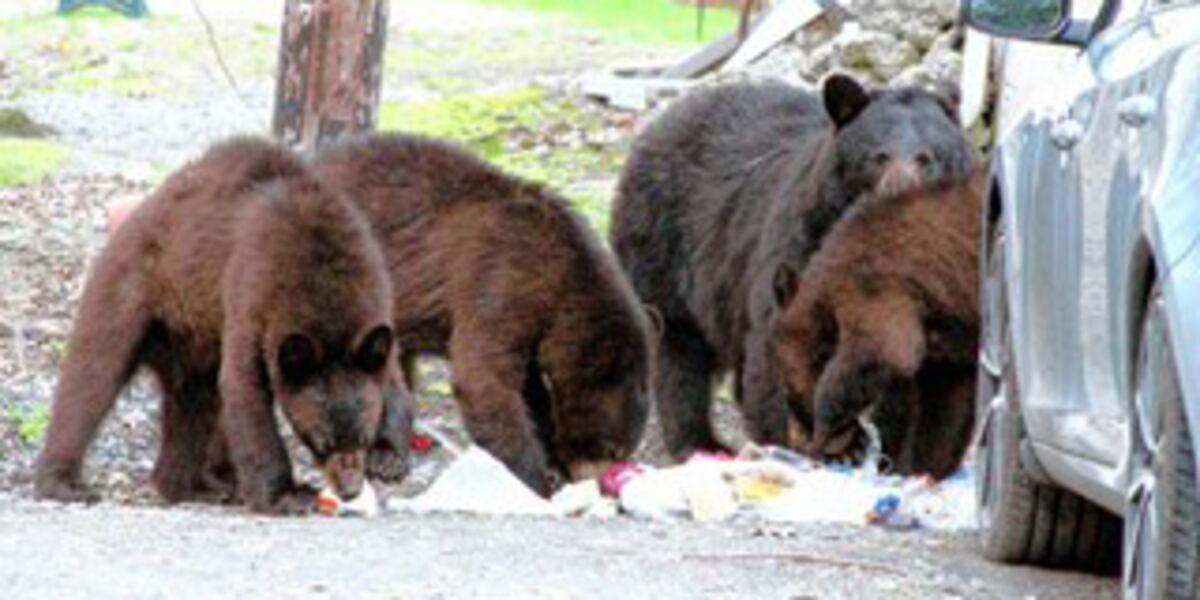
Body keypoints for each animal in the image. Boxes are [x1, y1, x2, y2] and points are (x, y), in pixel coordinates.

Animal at [34, 137, 413, 514]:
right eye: (320, 442)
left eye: (363, 436)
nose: (349, 490)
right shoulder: (252, 294)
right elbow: (244, 388)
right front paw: (287, 495)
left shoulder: (377, 306)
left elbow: (392, 376)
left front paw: (388, 458)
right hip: (133, 287)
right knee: (93, 375)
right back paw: (63, 483)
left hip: (192, 340)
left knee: (195, 404)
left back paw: (194, 486)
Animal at [311, 133, 657, 496]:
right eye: (609, 447)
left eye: (621, 449)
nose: (601, 481)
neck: (560, 272)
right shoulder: (499, 282)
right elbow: (485, 380)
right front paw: (538, 480)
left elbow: (529, 389)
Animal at [609, 73, 976, 458]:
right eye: (878, 156)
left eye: (927, 158)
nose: (899, 196)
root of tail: (664, 118)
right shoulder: (803, 246)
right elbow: (783, 345)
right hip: (664, 241)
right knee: (678, 344)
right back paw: (700, 441)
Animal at [772, 170, 986, 478]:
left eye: (789, 394)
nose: (797, 433)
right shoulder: (947, 345)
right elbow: (945, 411)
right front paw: (920, 469)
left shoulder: (874, 286)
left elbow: (882, 351)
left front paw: (823, 441)